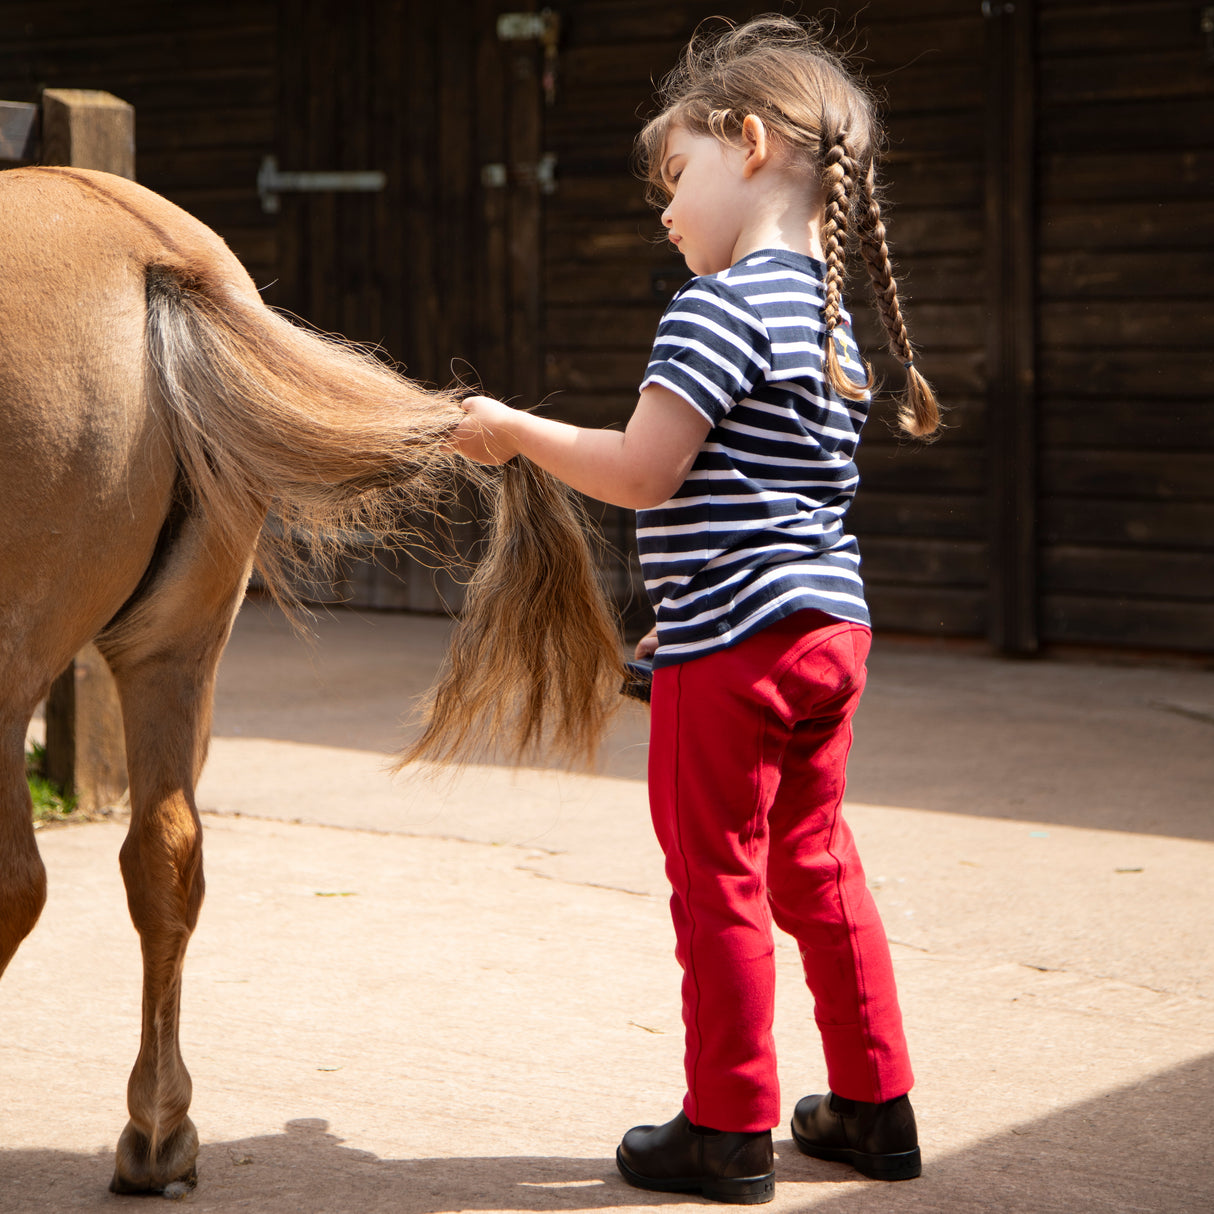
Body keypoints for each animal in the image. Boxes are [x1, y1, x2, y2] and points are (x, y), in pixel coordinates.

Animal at [0, 168, 621, 1194]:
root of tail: (149, 258)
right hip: (177, 654)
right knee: (165, 859)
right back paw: (159, 1135)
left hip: (18, 671)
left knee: (21, 879)